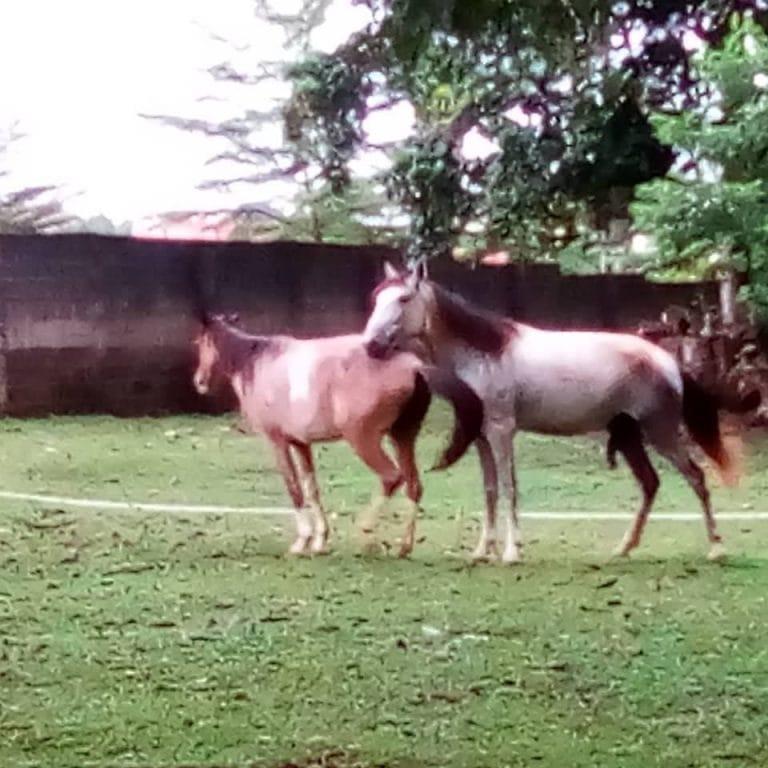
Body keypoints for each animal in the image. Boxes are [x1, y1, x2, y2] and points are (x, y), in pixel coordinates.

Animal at [192, 313, 484, 557]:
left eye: (201, 342)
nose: (199, 381)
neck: (259, 364)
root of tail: (414, 366)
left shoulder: (278, 442)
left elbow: (294, 488)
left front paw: (301, 542)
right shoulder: (301, 443)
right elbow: (311, 489)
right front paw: (319, 540)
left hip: (364, 441)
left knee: (391, 477)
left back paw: (366, 533)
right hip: (402, 437)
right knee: (414, 485)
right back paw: (404, 547)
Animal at [362, 261, 760, 564]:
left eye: (403, 298)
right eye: (377, 297)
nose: (370, 345)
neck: (486, 352)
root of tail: (668, 361)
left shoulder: (502, 431)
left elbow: (509, 487)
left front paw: (511, 552)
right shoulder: (482, 437)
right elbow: (490, 490)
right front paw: (481, 551)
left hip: (660, 433)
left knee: (696, 477)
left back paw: (716, 548)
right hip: (631, 436)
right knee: (650, 483)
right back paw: (624, 548)